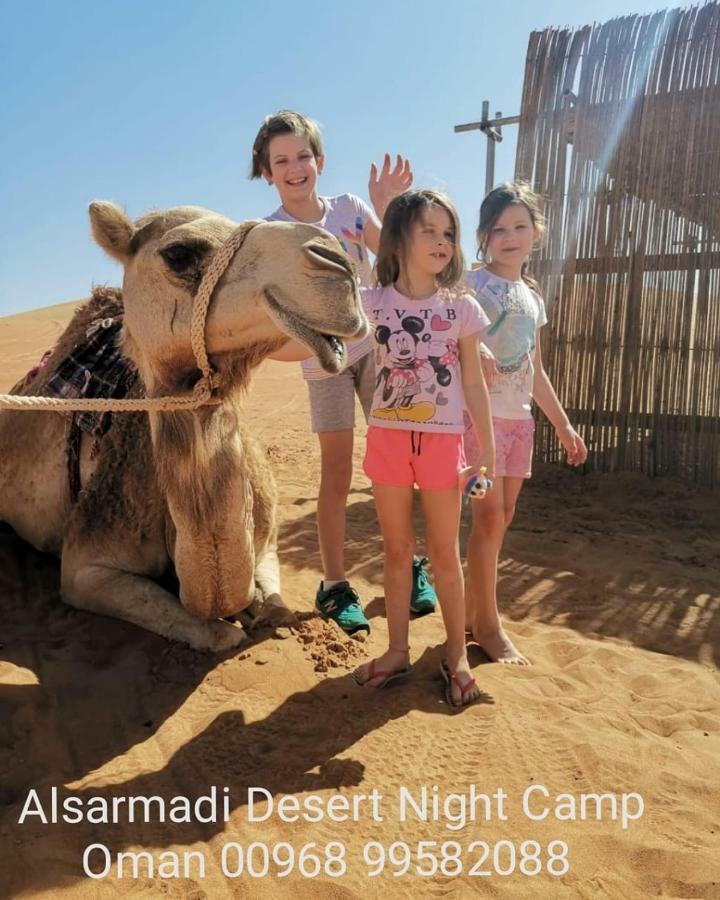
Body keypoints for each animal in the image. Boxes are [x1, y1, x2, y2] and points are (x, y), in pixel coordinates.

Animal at [0, 201, 368, 652]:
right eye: (178, 253)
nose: (338, 263)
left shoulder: (267, 543)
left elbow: (273, 607)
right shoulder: (86, 567)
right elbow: (217, 632)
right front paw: (228, 627)